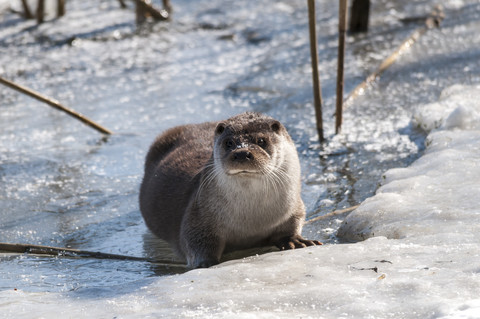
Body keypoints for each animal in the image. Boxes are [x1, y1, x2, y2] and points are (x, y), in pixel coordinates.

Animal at [139, 111, 320, 268]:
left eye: (261, 141)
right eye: (229, 143)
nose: (241, 153)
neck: (251, 219)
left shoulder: (294, 207)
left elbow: (292, 224)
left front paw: (296, 240)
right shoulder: (198, 214)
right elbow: (192, 238)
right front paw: (205, 262)